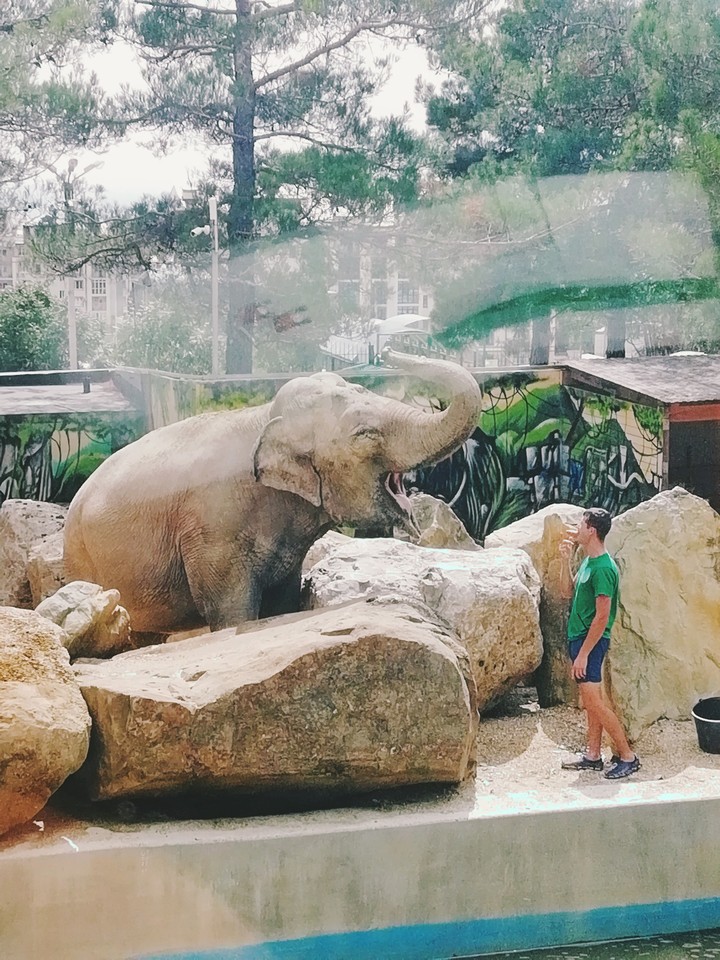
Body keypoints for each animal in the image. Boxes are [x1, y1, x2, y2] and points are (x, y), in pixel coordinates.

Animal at [63, 350, 482, 635]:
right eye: (365, 433)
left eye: (362, 389)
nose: (388, 350)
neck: (263, 416)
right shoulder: (211, 534)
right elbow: (231, 611)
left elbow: (282, 603)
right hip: (84, 560)